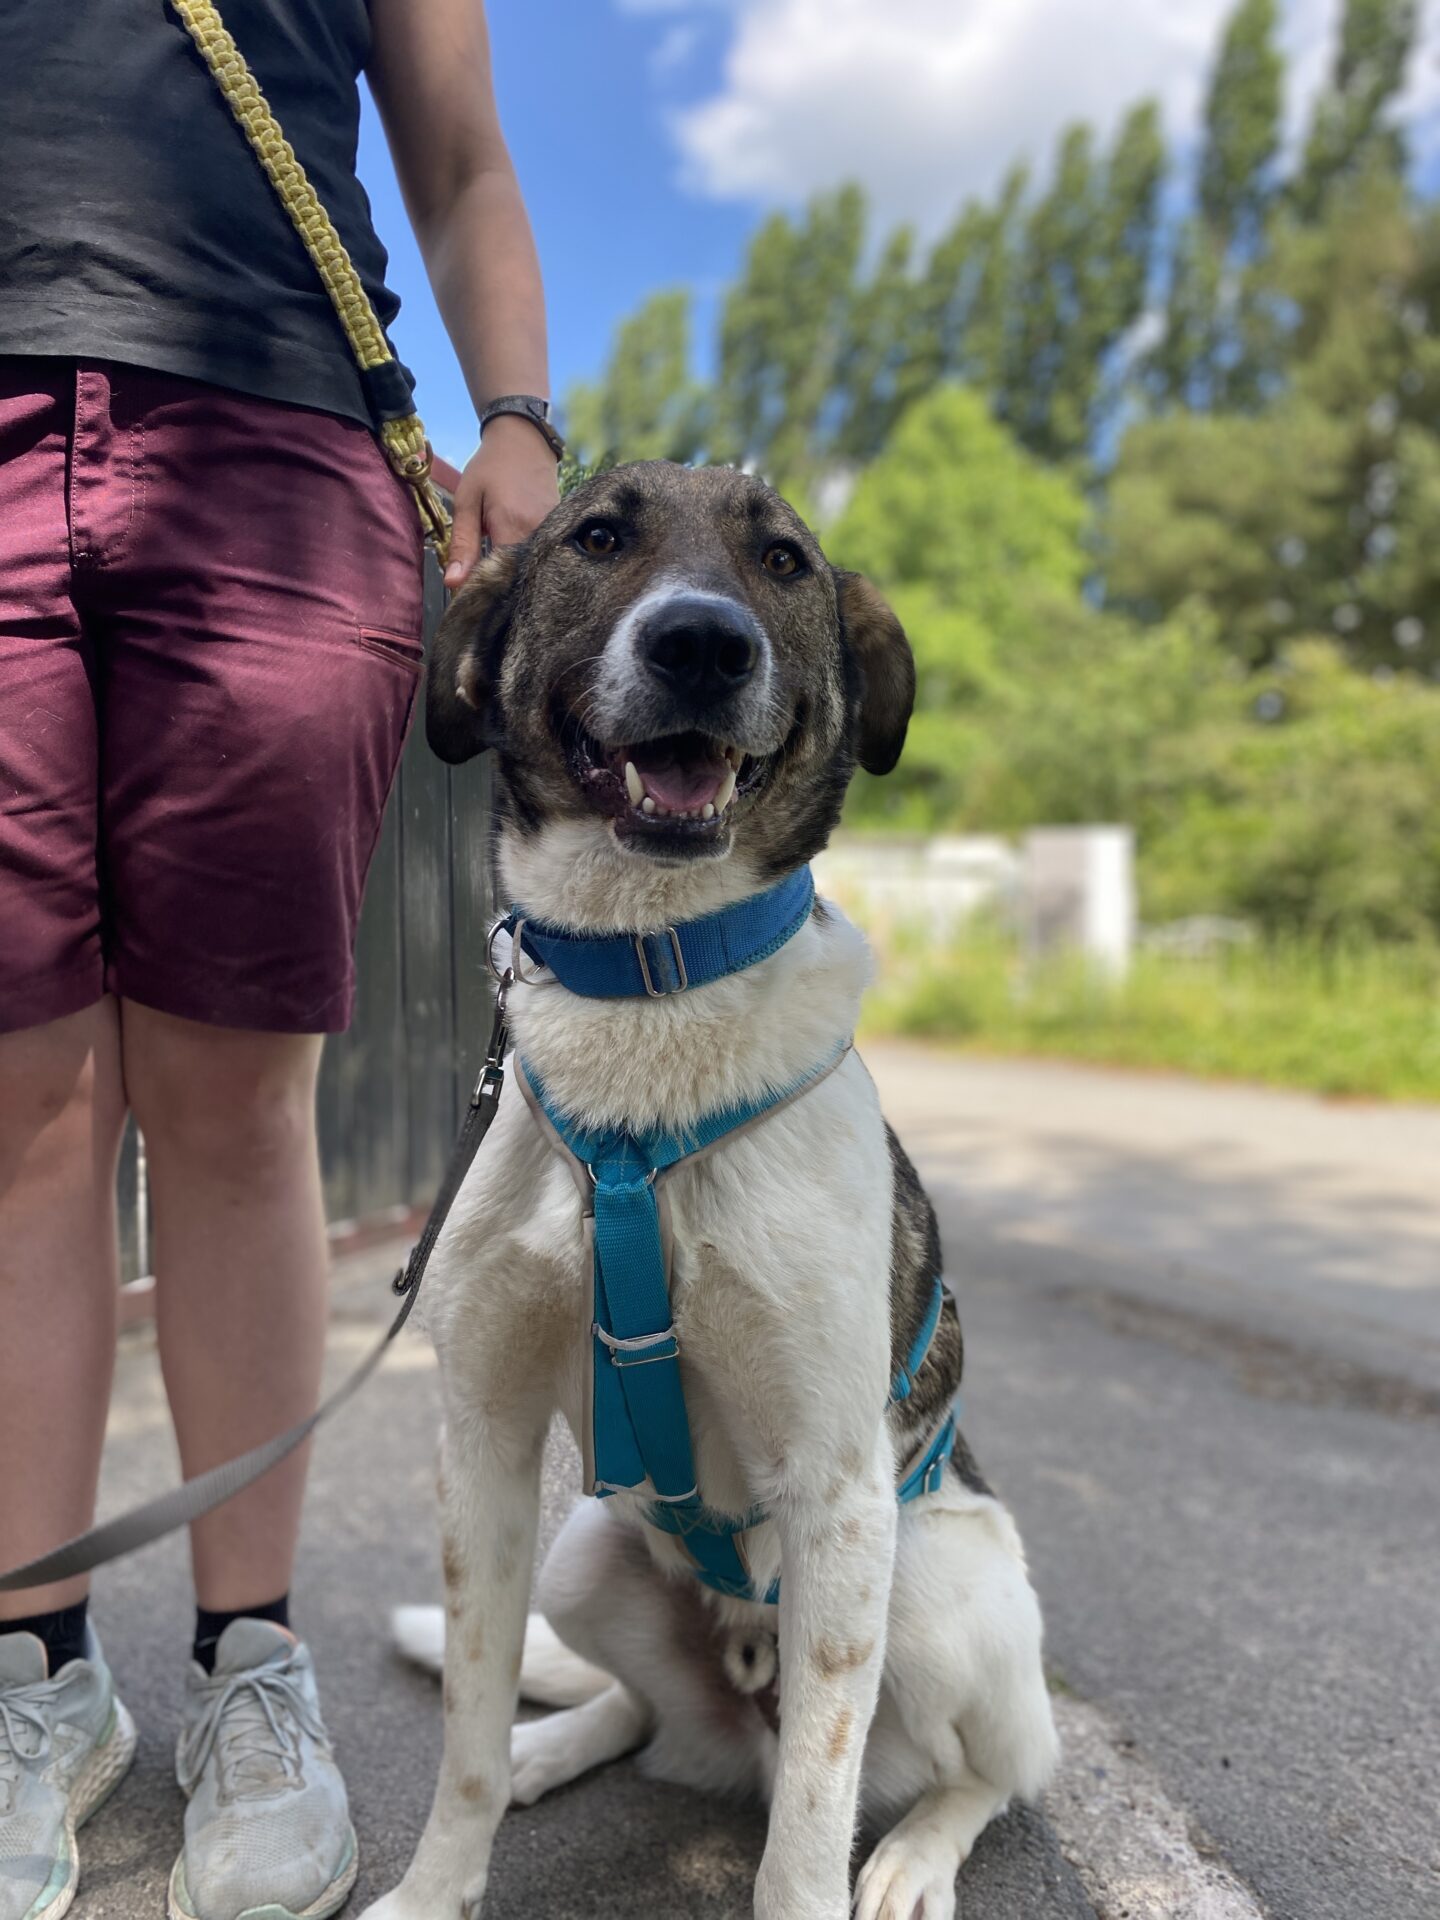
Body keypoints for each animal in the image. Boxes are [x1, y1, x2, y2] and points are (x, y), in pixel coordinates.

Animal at [360, 464, 1059, 1920]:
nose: (702, 644)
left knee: (993, 1771)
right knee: (637, 1713)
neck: (647, 986)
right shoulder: (483, 1451)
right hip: (583, 1552)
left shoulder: (841, 1494)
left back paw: (913, 1854)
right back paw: (557, 1745)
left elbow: (805, 1832)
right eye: (596, 536)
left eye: (785, 561)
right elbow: (462, 1733)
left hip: (933, 1582)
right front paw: (439, 1882)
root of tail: (737, 1704)